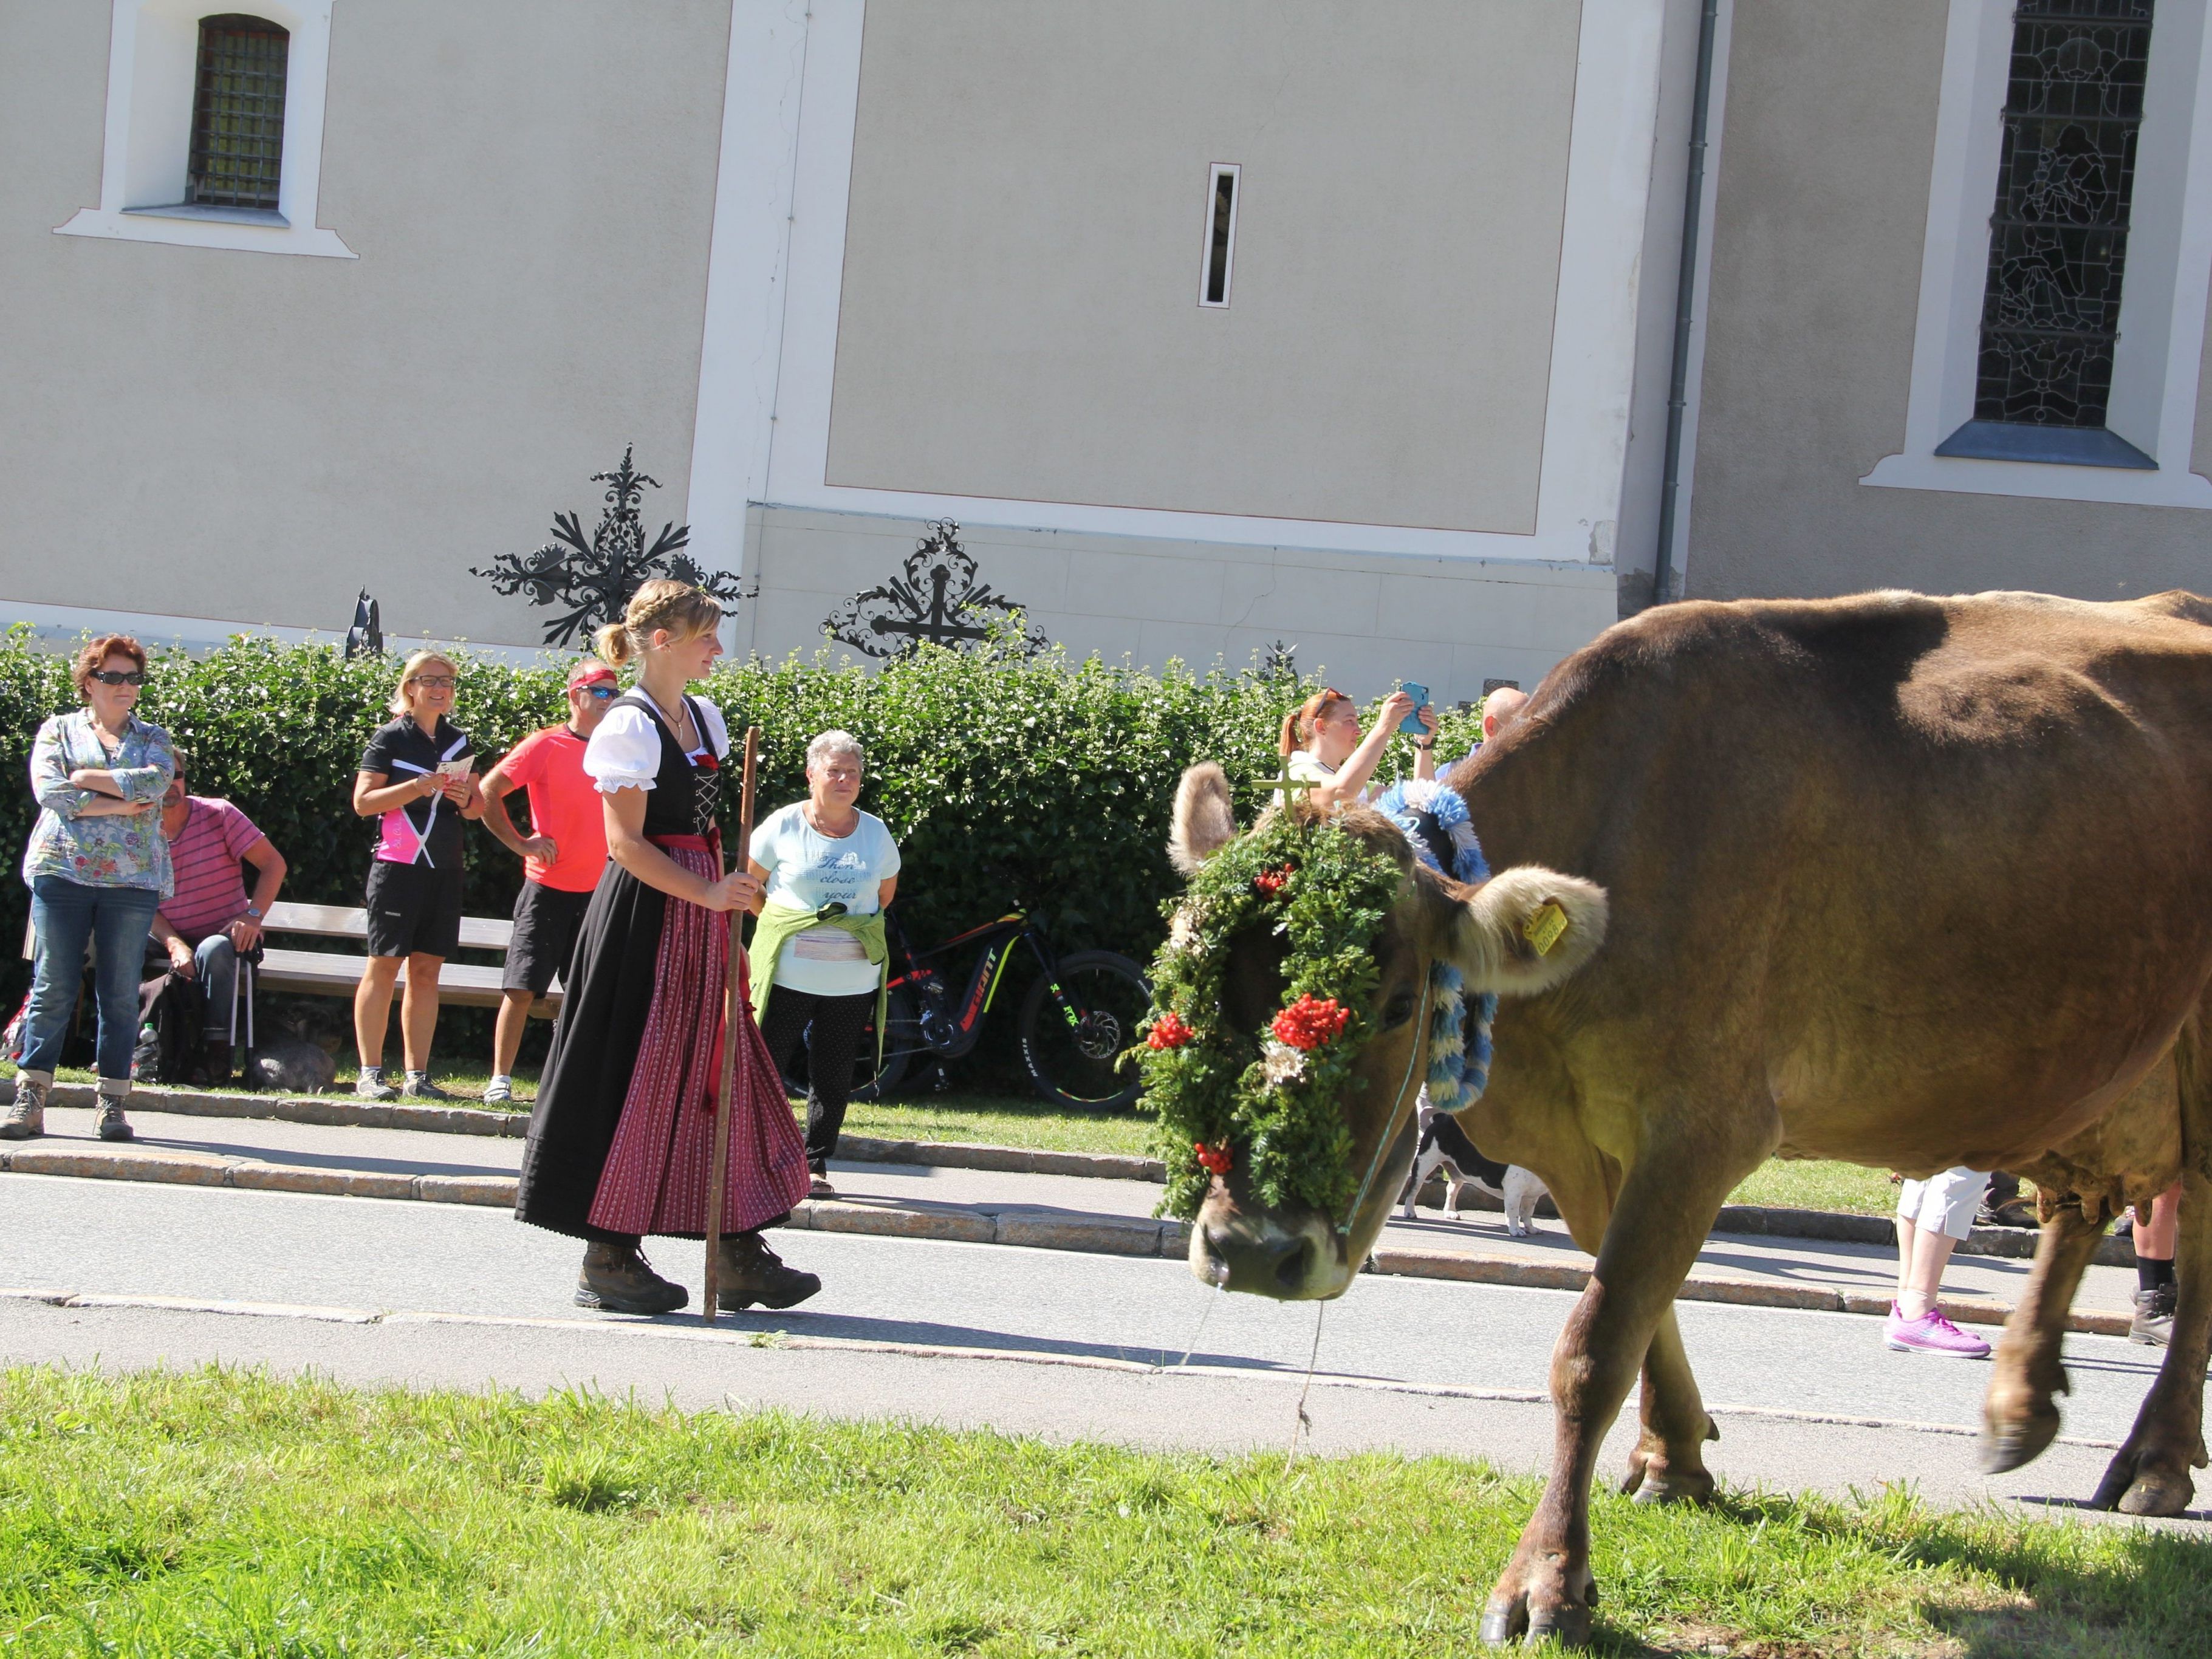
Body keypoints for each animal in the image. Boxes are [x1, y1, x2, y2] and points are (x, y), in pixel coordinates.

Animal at [1406, 1097, 1548, 1239]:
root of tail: (1442, 1118)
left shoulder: (1532, 1196)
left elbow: (1527, 1213)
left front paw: (1531, 1228)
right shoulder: (1514, 1193)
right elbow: (1514, 1213)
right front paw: (1516, 1231)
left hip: (1456, 1172)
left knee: (1452, 1189)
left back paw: (1451, 1212)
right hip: (1424, 1163)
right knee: (1414, 1189)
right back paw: (1410, 1212)